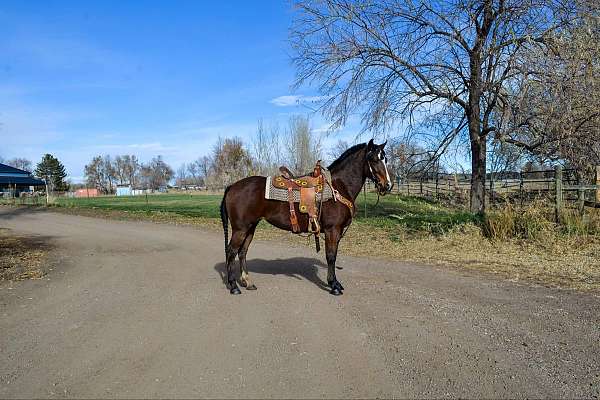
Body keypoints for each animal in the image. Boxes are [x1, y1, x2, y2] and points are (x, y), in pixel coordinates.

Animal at [220, 139, 394, 296]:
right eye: (374, 159)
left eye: (385, 159)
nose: (388, 185)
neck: (338, 187)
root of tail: (232, 186)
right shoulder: (332, 230)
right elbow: (331, 256)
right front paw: (334, 286)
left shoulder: (336, 232)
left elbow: (333, 255)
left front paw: (335, 283)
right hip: (240, 229)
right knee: (231, 252)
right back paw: (234, 286)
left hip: (251, 227)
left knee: (242, 252)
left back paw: (248, 282)